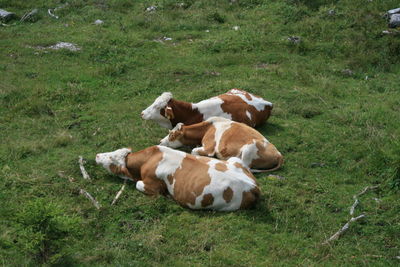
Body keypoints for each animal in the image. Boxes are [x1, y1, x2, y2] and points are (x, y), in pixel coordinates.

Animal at [95, 147, 260, 211]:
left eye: (111, 160)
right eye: (113, 151)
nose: (97, 155)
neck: (148, 159)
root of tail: (254, 186)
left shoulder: (152, 186)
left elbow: (138, 184)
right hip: (235, 160)